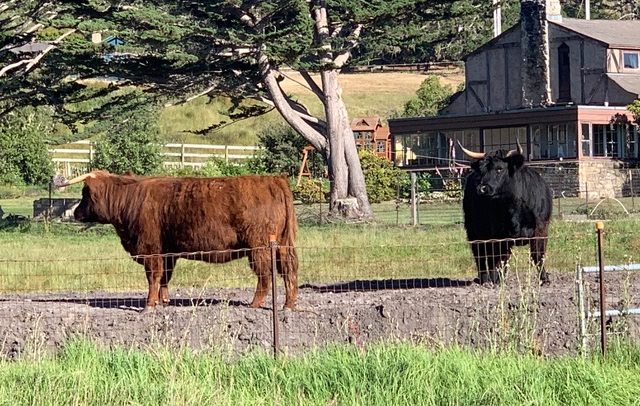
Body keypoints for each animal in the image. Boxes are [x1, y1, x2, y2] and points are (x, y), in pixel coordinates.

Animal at [58, 170, 298, 312]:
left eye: (84, 193)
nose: (75, 213)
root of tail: (273, 179)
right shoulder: (167, 252)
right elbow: (164, 277)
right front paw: (163, 301)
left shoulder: (150, 249)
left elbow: (153, 276)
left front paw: (149, 306)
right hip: (282, 246)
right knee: (289, 271)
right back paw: (288, 306)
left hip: (260, 247)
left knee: (265, 275)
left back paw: (254, 304)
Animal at [458, 141, 552, 284]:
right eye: (482, 170)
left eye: (499, 168)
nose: (482, 188)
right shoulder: (499, 233)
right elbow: (499, 258)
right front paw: (498, 279)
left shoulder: (541, 229)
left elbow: (538, 255)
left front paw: (544, 278)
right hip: (474, 230)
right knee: (481, 254)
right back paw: (485, 279)